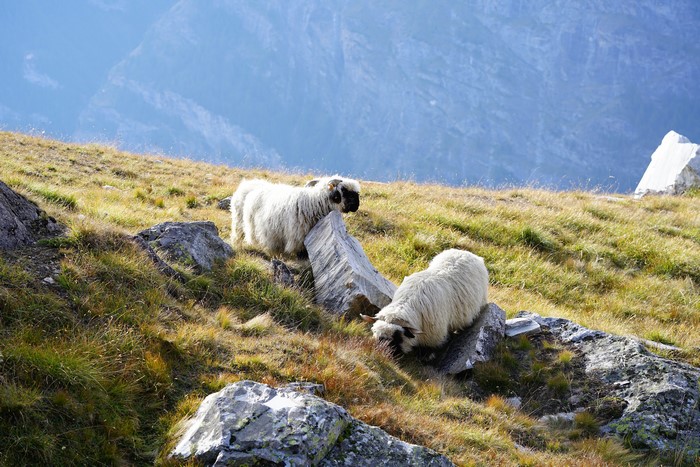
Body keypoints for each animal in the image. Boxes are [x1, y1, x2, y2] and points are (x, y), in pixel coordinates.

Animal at [231, 175, 361, 257]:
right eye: (344, 190)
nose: (357, 205)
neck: (314, 202)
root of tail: (248, 183)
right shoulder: (297, 234)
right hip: (241, 222)